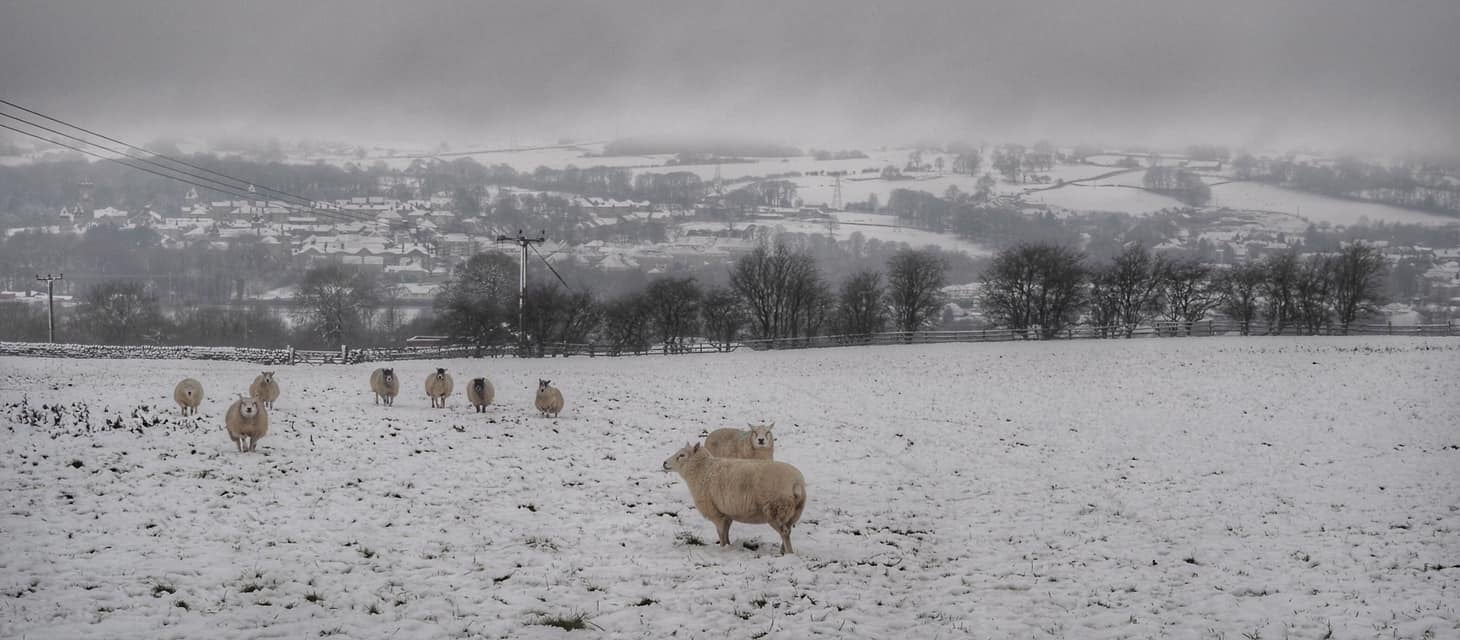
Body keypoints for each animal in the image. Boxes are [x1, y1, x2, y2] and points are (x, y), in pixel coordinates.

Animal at [665, 441, 811, 555]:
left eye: (682, 455)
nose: (664, 463)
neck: (703, 470)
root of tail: (796, 483)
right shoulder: (727, 512)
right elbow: (726, 531)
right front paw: (729, 545)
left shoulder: (715, 512)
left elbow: (720, 532)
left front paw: (722, 548)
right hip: (793, 512)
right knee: (788, 530)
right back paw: (782, 551)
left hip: (775, 510)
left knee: (784, 532)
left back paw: (789, 553)